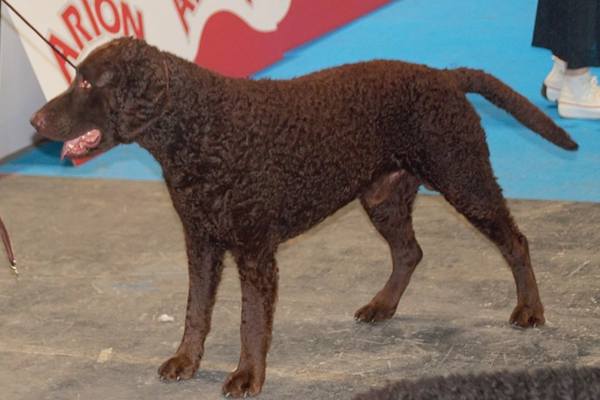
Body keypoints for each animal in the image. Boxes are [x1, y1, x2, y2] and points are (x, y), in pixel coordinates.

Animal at [30, 38, 580, 396]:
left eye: (86, 79)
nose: (35, 121)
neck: (199, 128)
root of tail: (444, 76)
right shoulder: (200, 241)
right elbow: (196, 311)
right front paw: (186, 361)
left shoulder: (255, 251)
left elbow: (251, 321)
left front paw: (247, 376)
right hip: (383, 196)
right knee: (410, 252)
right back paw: (381, 306)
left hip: (464, 178)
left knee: (515, 242)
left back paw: (529, 311)